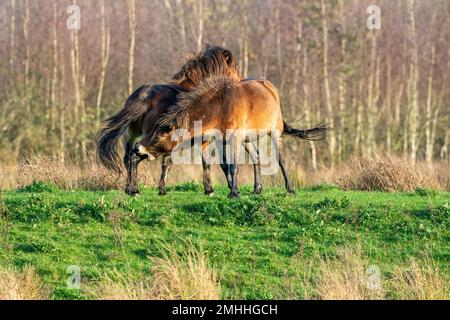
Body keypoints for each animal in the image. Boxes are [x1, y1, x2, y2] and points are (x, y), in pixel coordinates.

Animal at [95, 45, 243, 196]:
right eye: (236, 68)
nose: (241, 82)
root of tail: (144, 97)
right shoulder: (206, 138)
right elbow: (214, 162)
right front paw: (214, 189)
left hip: (132, 134)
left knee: (128, 157)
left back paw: (130, 189)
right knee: (139, 157)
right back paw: (140, 189)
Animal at [135, 76, 328, 198]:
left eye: (159, 136)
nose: (138, 148)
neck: (220, 105)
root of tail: (270, 88)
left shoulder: (234, 138)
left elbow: (234, 166)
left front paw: (234, 193)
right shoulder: (222, 140)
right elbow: (226, 165)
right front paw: (234, 190)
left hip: (275, 134)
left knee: (281, 160)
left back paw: (290, 188)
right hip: (247, 140)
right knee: (256, 158)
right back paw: (257, 189)